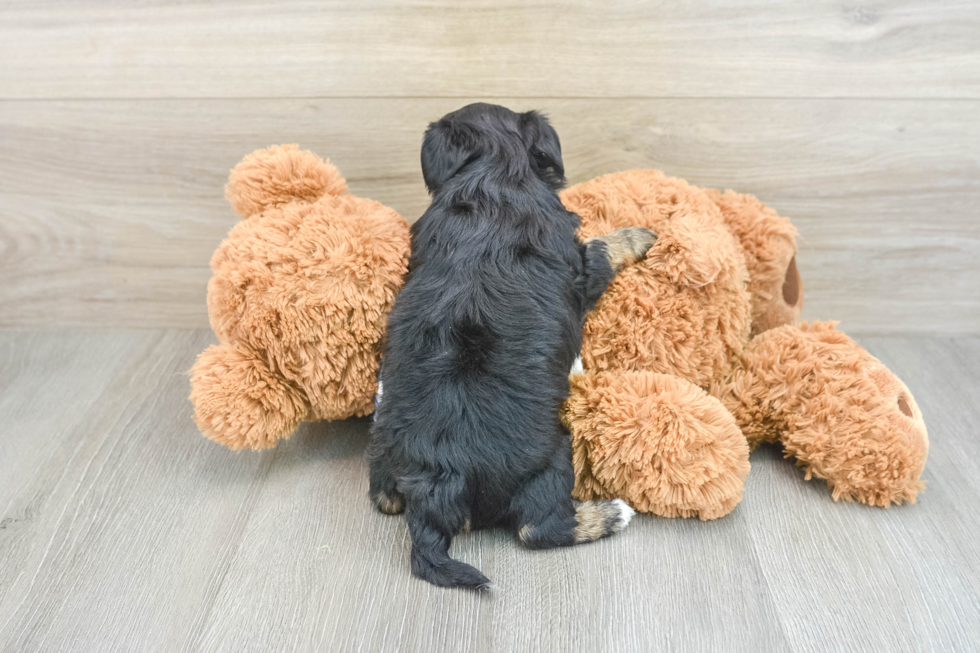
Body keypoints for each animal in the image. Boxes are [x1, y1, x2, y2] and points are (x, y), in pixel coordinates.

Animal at [372, 104, 656, 588]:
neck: (495, 173)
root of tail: (440, 482)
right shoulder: (581, 265)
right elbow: (603, 245)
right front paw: (642, 235)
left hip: (384, 426)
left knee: (383, 498)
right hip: (551, 460)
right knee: (537, 528)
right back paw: (610, 514)